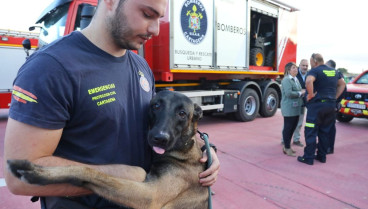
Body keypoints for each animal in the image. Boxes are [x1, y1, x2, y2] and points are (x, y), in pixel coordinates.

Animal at [7, 90, 208, 209]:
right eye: (156, 106)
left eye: (182, 114)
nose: (160, 138)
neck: (184, 150)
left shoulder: (150, 196)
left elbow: (87, 170)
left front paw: (39, 173)